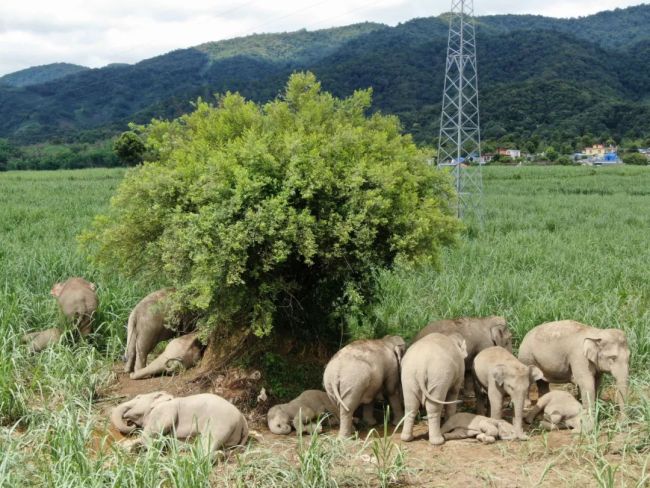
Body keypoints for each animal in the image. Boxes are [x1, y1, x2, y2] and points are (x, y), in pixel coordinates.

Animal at [110, 390, 247, 456]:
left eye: (138, 397)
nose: (130, 423)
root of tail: (243, 420)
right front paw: (124, 447)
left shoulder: (164, 410)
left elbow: (149, 433)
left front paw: (156, 447)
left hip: (220, 422)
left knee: (207, 445)